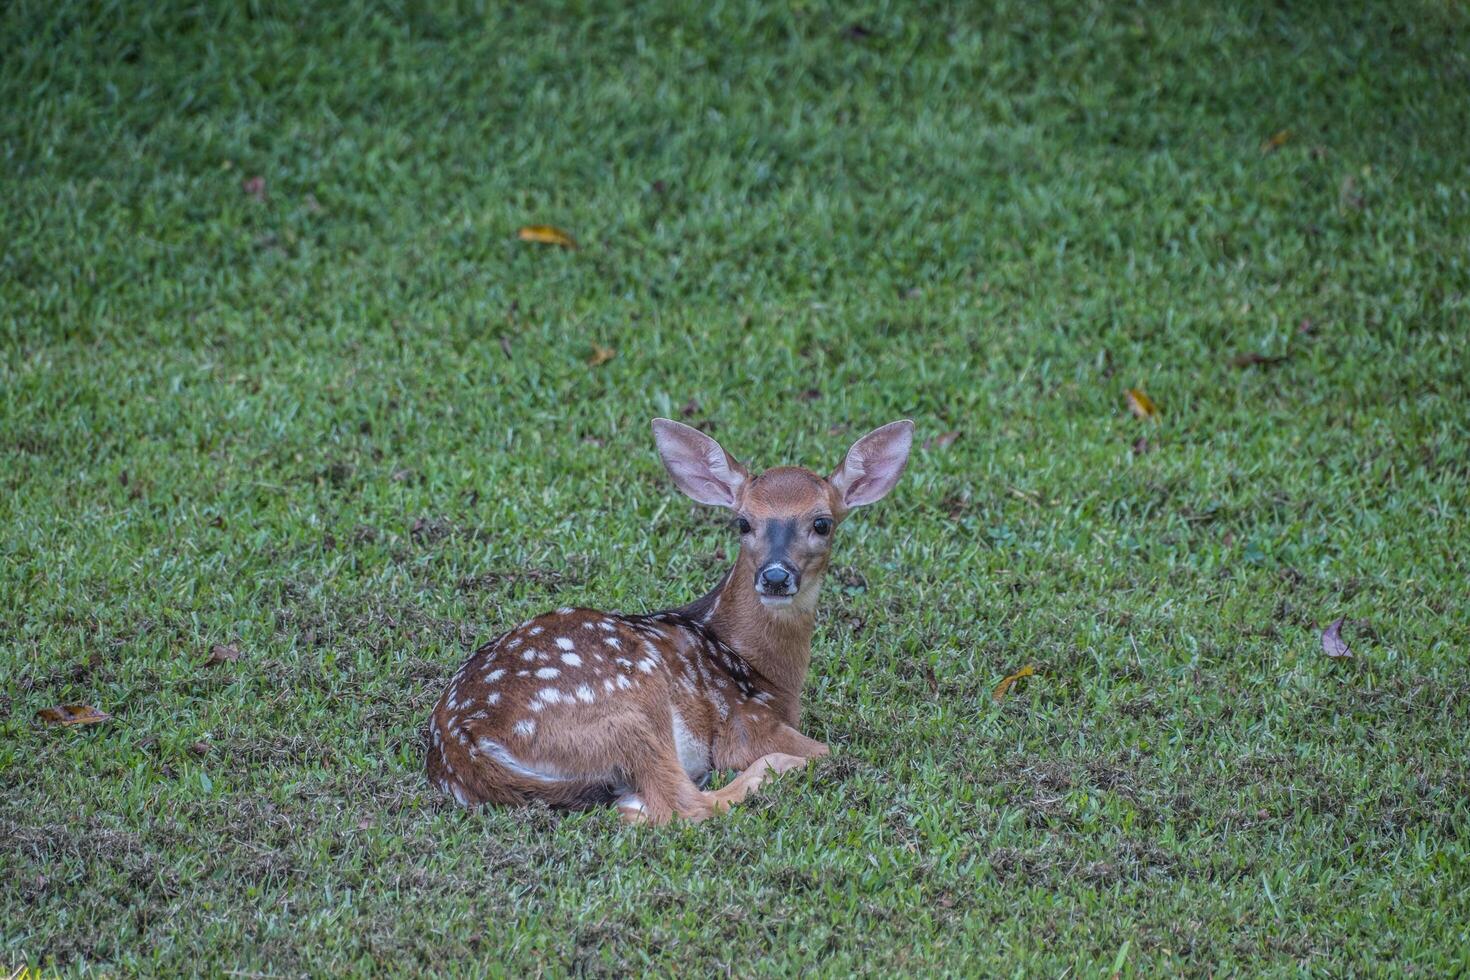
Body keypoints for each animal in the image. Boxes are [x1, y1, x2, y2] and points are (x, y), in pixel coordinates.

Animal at [420, 417, 911, 822]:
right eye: (743, 522)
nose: (775, 576)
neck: (763, 673)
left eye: (823, 523)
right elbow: (824, 749)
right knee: (678, 805)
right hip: (626, 705)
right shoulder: (744, 721)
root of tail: (461, 743)